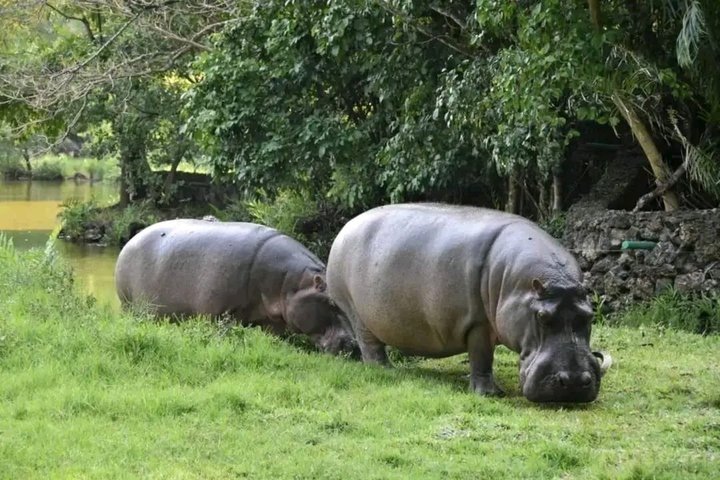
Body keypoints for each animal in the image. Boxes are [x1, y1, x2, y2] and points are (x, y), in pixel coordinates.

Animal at [115, 219, 357, 355]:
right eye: (332, 302)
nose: (354, 345)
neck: (290, 282)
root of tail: (131, 240)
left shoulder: (273, 321)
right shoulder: (219, 316)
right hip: (132, 308)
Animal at [327, 203, 610, 403]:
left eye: (589, 316)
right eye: (541, 317)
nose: (573, 382)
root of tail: (345, 228)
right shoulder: (478, 324)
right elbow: (482, 357)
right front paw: (491, 393)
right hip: (356, 312)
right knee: (370, 345)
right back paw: (386, 370)